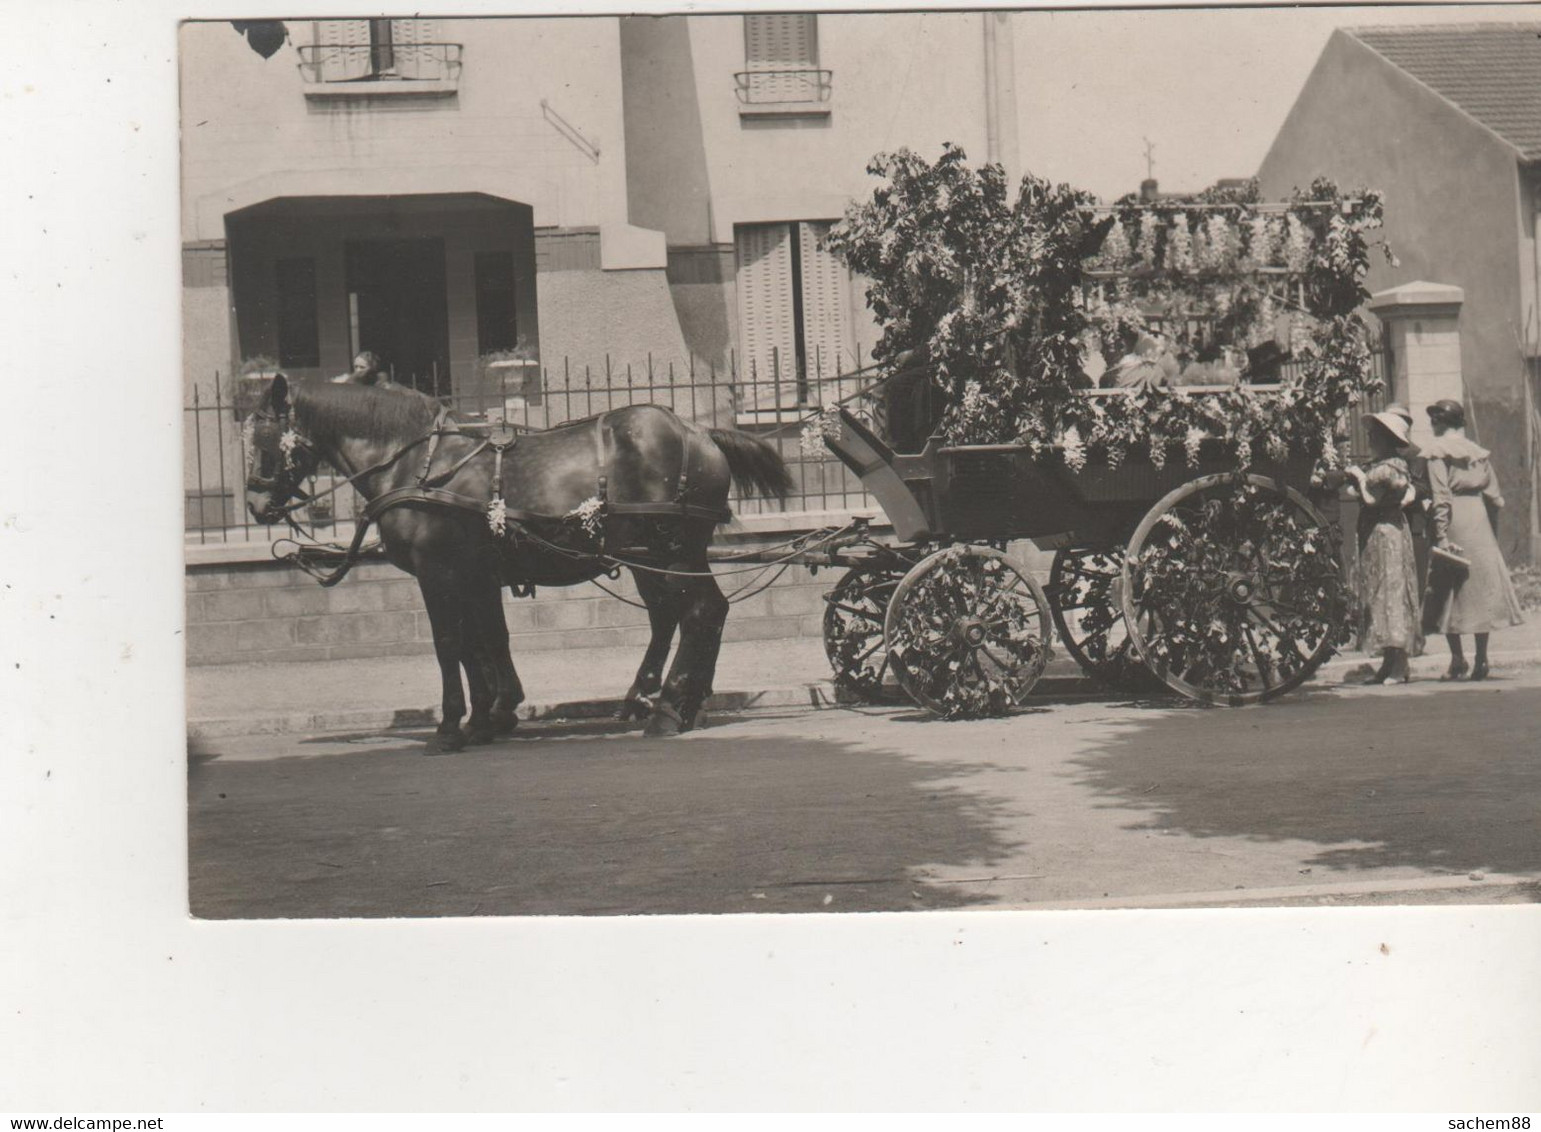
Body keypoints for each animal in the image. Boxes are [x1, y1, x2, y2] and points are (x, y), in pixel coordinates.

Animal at [246, 375, 795, 751]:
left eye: (263, 440)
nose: (254, 505)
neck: (416, 464)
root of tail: (697, 432)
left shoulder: (438, 572)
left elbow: (450, 644)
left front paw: (451, 726)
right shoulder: (474, 574)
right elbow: (484, 641)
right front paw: (490, 715)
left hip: (670, 552)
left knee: (698, 613)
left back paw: (666, 707)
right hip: (655, 556)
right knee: (685, 616)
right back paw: (679, 702)